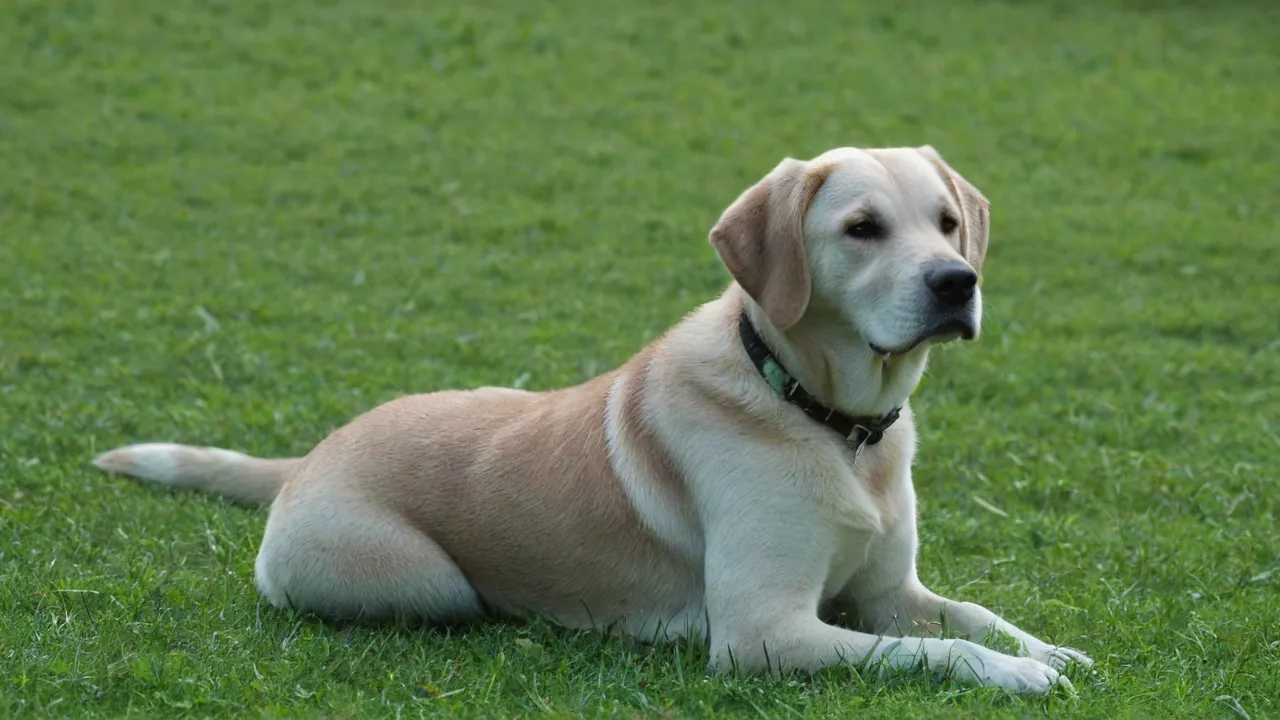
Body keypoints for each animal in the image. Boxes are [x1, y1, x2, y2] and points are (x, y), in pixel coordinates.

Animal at [92, 144, 1090, 691]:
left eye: (948, 221)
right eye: (862, 229)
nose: (957, 282)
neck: (830, 423)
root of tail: (309, 457)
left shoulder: (891, 594)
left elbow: (973, 616)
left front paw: (1055, 650)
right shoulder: (765, 632)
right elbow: (932, 655)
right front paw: (1019, 675)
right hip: (423, 582)